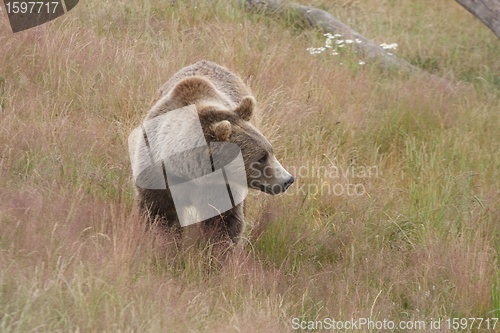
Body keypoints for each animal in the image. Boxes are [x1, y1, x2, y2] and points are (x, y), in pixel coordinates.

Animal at [130, 61, 292, 245]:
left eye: (270, 151)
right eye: (261, 158)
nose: (288, 180)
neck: (187, 172)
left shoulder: (220, 187)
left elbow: (223, 222)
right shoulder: (157, 177)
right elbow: (159, 215)